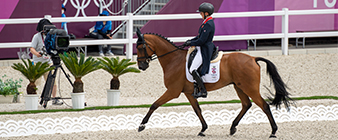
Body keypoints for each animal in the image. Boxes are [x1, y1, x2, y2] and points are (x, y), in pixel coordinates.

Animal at [135, 29, 294, 138]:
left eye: (140, 47)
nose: (141, 66)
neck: (173, 59)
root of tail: (253, 58)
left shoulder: (173, 91)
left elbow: (154, 104)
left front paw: (142, 125)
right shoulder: (188, 92)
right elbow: (197, 110)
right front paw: (203, 129)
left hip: (250, 88)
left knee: (264, 106)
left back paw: (273, 131)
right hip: (239, 87)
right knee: (246, 104)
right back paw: (232, 128)